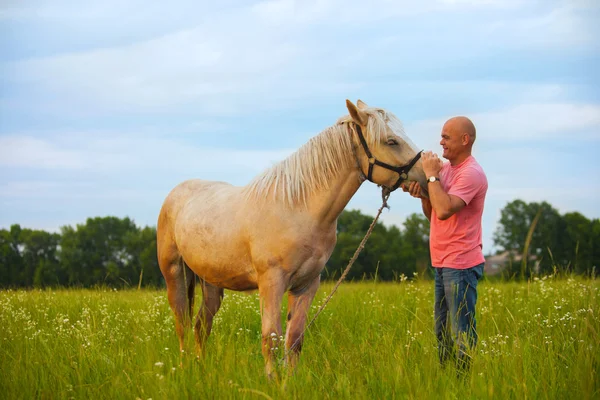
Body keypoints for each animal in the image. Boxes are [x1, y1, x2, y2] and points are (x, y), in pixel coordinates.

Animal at [155, 98, 426, 376]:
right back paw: (185, 370)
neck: (298, 207)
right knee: (182, 325)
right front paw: (272, 380)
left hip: (211, 283)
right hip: (175, 274)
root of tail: (177, 193)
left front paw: (291, 381)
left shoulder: (307, 284)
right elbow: (271, 338)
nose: (425, 177)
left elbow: (294, 339)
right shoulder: (271, 282)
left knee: (200, 326)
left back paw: (200, 370)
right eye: (391, 141)